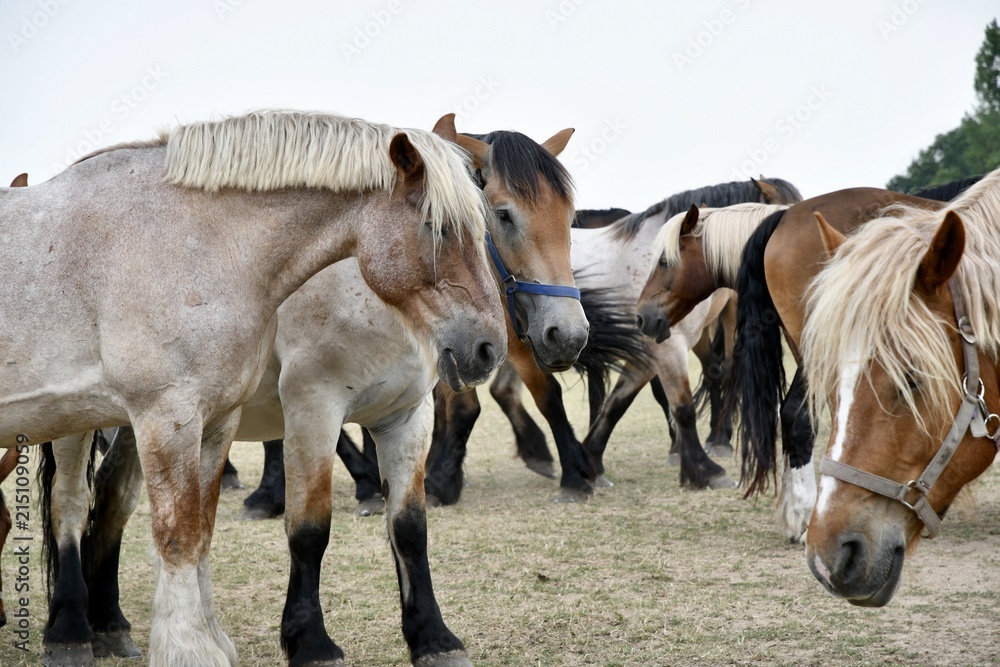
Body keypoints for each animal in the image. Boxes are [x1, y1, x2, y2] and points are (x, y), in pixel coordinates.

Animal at [38, 116, 590, 667]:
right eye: (503, 214)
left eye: (569, 218)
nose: (568, 335)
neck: (364, 291)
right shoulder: (312, 410)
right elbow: (309, 529)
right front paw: (309, 640)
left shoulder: (407, 418)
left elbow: (410, 528)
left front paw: (433, 638)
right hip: (82, 419)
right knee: (70, 504)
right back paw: (70, 630)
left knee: (114, 497)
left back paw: (109, 622)